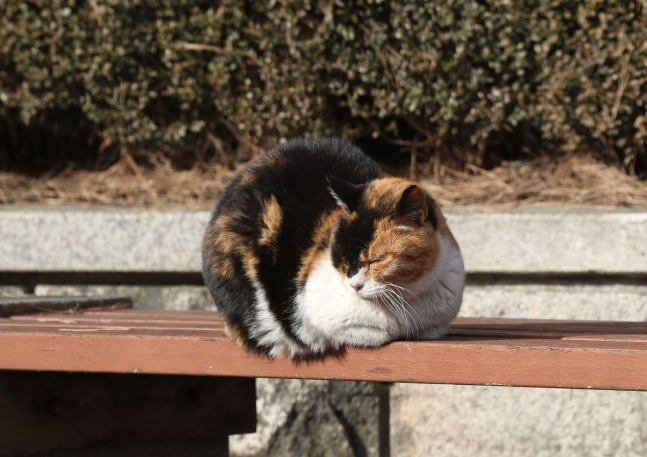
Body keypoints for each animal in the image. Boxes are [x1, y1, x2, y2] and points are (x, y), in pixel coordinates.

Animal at [202, 137, 466, 358]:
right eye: (343, 259)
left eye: (377, 260)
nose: (355, 285)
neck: (409, 299)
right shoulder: (312, 312)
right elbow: (371, 332)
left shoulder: (439, 320)